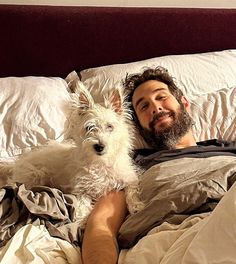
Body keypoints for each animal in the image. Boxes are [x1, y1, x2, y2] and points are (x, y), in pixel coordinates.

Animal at [1, 82, 144, 227]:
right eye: (89, 127)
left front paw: (136, 206)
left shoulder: (129, 177)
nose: (99, 146)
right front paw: (82, 223)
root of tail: (17, 164)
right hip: (33, 176)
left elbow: (132, 191)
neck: (100, 161)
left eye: (110, 127)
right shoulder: (82, 191)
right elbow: (83, 207)